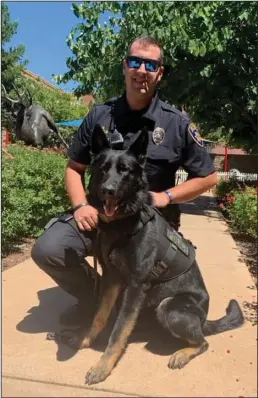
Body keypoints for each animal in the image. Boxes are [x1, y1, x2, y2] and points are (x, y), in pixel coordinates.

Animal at [60, 125, 244, 386]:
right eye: (103, 169)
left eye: (125, 170)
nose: (108, 191)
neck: (124, 223)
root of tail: (203, 319)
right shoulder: (112, 279)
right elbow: (100, 316)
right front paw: (85, 340)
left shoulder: (135, 286)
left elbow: (118, 332)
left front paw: (103, 366)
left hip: (168, 307)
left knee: (203, 342)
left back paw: (182, 352)